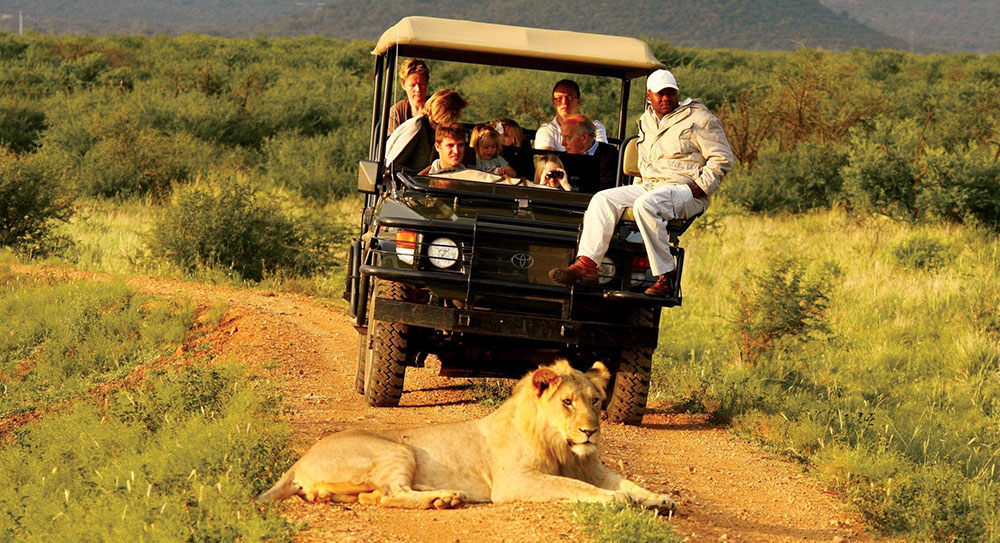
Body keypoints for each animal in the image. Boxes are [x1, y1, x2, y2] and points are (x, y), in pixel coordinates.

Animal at [262, 360, 676, 512]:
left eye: (595, 400)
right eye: (567, 402)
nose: (591, 431)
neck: (563, 448)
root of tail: (300, 459)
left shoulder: (595, 469)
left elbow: (629, 483)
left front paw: (659, 498)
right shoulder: (515, 483)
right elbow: (577, 488)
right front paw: (617, 499)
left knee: (375, 497)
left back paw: (442, 498)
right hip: (397, 452)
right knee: (392, 493)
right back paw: (444, 498)